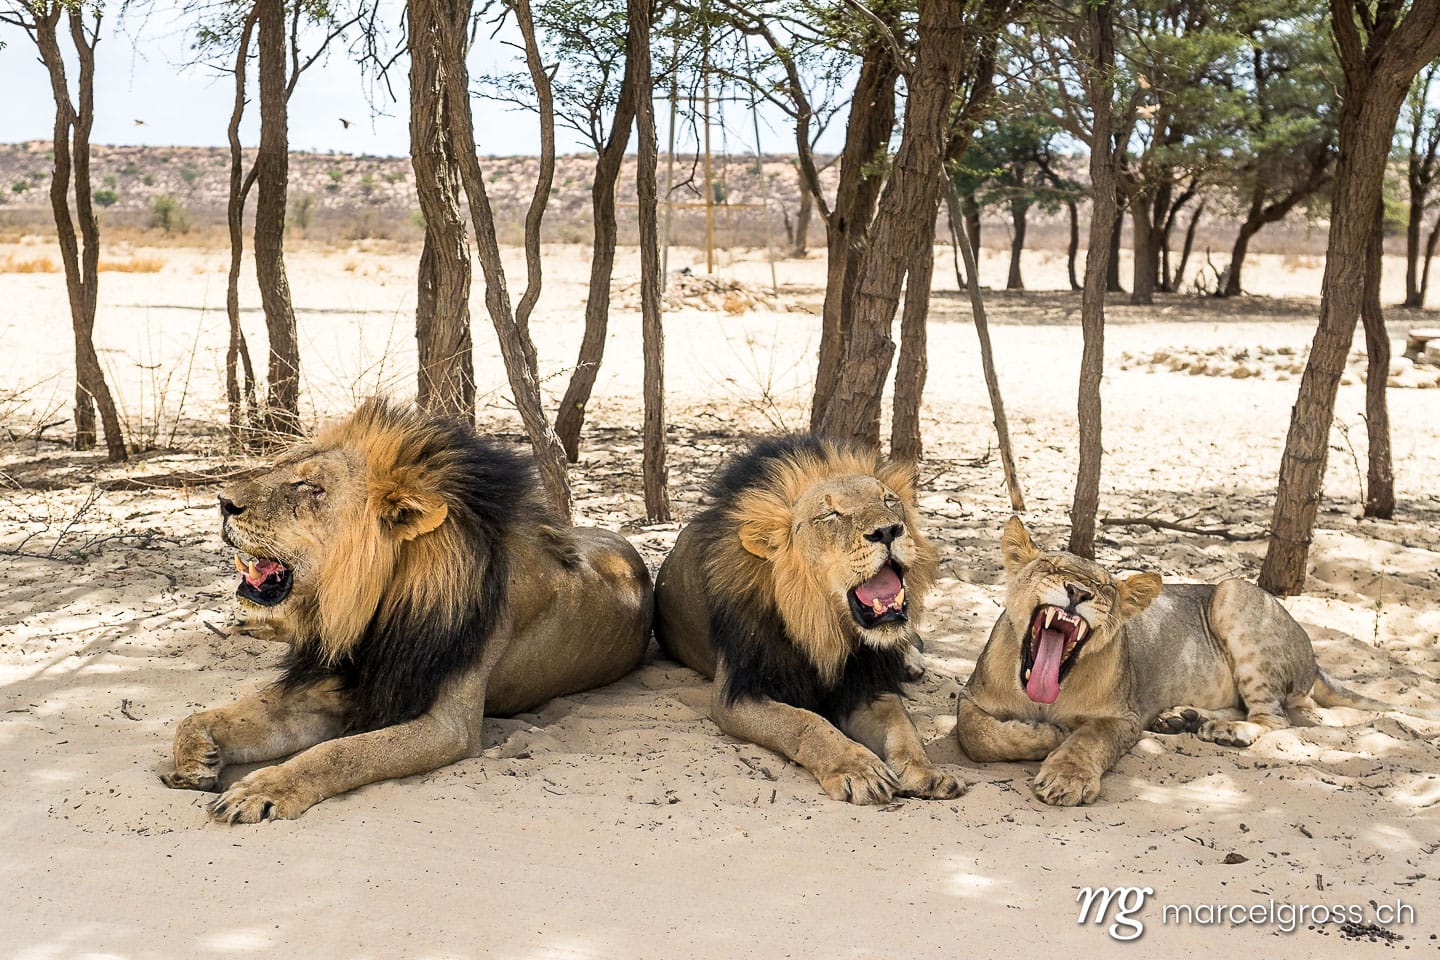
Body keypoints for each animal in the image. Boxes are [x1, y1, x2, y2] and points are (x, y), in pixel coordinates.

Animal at [161, 399, 653, 823]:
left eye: (311, 487)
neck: (370, 611)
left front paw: (262, 789)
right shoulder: (334, 683)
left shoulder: (448, 728)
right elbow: (203, 715)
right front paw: (197, 757)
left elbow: (339, 753)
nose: (223, 502)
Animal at [653, 435, 962, 805]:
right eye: (830, 514)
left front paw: (925, 772)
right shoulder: (737, 694)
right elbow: (804, 722)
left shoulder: (866, 682)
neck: (824, 627)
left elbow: (901, 726)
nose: (889, 530)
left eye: (889, 501)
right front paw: (859, 769)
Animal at [957, 517, 1440, 806]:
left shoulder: (1123, 716)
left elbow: (1087, 740)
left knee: (1275, 718)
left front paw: (1065, 776)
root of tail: (1312, 654)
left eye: (1106, 588)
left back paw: (1224, 731)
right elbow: (976, 735)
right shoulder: (971, 696)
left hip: (1233, 593)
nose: (1078, 593)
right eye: (1053, 569)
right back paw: (1184, 718)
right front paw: (1042, 737)